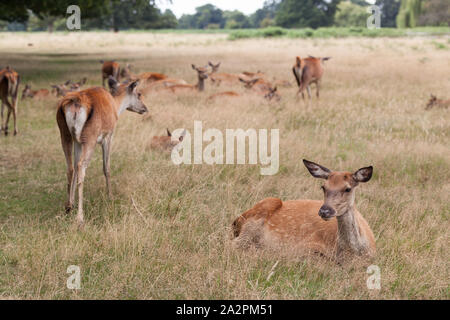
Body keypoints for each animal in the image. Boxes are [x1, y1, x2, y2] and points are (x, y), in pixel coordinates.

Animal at [56, 79, 148, 228]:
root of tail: (74, 103)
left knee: (71, 167)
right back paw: (80, 218)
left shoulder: (78, 141)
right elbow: (106, 167)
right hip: (90, 137)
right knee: (81, 166)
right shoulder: (108, 135)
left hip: (65, 133)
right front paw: (110, 196)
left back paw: (68, 207)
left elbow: (75, 166)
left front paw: (72, 202)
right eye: (139, 94)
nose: (145, 109)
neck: (116, 105)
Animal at [232, 159, 376, 262]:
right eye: (323, 187)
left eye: (347, 188)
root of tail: (236, 221)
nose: (325, 211)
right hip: (264, 208)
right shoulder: (308, 246)